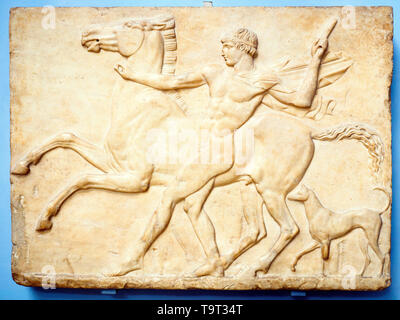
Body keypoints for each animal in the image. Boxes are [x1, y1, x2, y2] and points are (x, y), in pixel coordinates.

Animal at [10, 15, 384, 276]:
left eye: (129, 23)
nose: (88, 35)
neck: (143, 108)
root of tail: (309, 132)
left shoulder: (135, 179)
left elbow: (80, 179)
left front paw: (45, 220)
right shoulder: (112, 162)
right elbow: (66, 138)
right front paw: (22, 167)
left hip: (268, 190)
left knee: (287, 228)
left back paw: (248, 268)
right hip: (243, 188)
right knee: (250, 228)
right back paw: (215, 269)